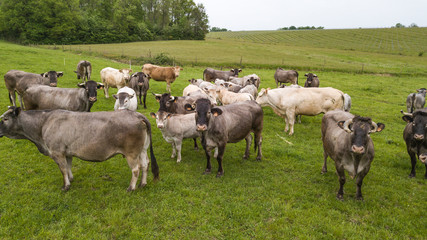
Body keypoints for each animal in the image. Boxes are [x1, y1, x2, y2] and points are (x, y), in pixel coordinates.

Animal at [0, 107, 160, 191]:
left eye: (5, 119)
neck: (43, 124)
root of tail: (136, 114)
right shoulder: (67, 152)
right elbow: (68, 166)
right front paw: (71, 179)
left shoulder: (57, 152)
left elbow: (63, 169)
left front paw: (66, 186)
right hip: (142, 150)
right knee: (145, 164)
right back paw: (143, 183)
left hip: (131, 153)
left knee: (136, 169)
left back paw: (131, 187)